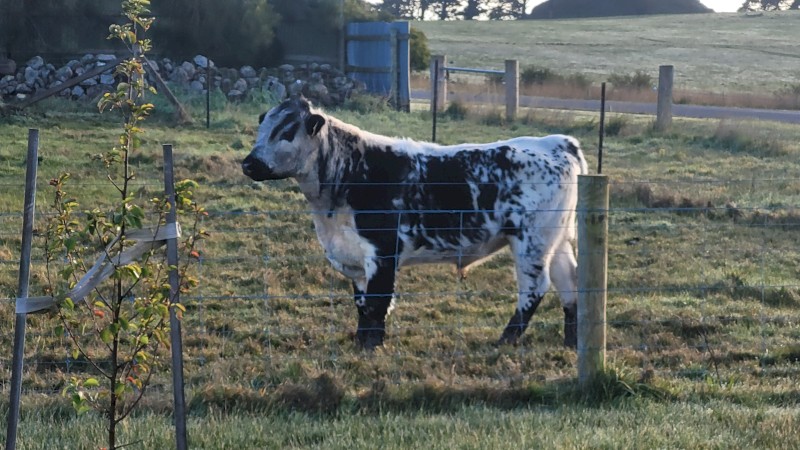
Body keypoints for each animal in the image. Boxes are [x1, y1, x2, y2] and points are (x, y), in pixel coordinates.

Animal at [242, 97, 588, 350]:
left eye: (287, 132)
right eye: (263, 128)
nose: (249, 163)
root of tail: (557, 142)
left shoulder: (382, 251)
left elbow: (378, 302)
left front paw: (371, 347)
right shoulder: (354, 256)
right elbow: (362, 303)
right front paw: (361, 342)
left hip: (531, 241)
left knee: (535, 288)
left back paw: (505, 340)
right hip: (556, 239)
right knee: (570, 284)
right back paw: (572, 342)